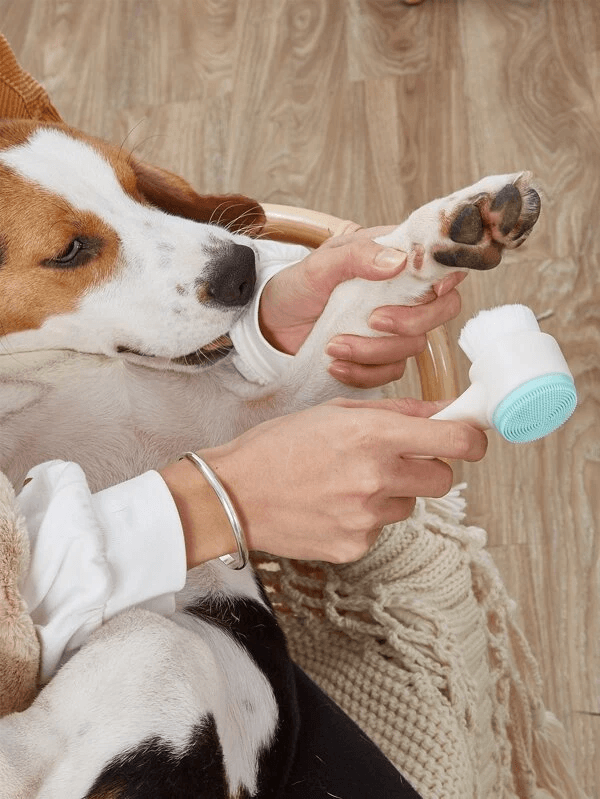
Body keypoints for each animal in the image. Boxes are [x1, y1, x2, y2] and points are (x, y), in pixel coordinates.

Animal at [0, 120, 540, 799]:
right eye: (71, 250)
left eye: (134, 186)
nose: (242, 268)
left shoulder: (232, 419)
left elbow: (352, 306)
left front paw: (450, 231)